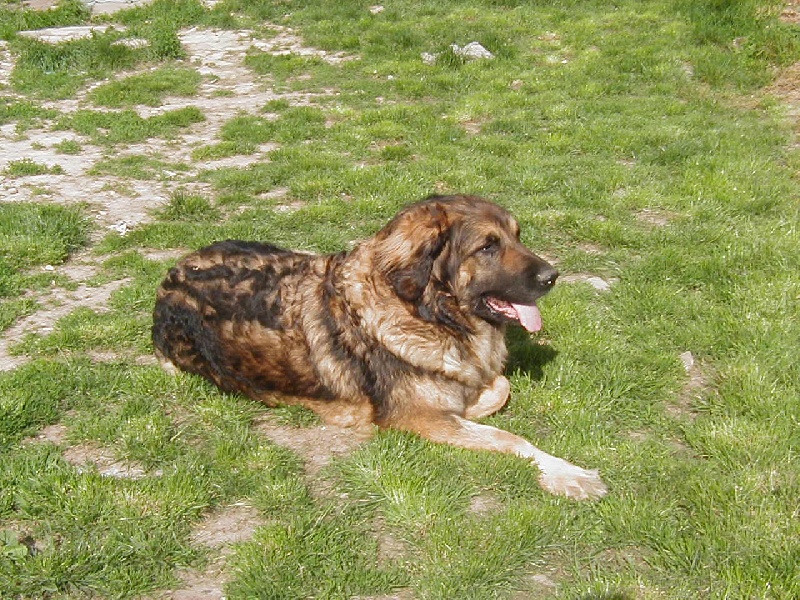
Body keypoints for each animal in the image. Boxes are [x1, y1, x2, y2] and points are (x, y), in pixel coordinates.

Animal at [152, 195, 608, 500]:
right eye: (488, 246)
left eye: (517, 236)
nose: (552, 276)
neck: (428, 311)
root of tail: (170, 276)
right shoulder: (416, 417)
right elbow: (510, 438)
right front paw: (569, 474)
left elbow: (498, 388)